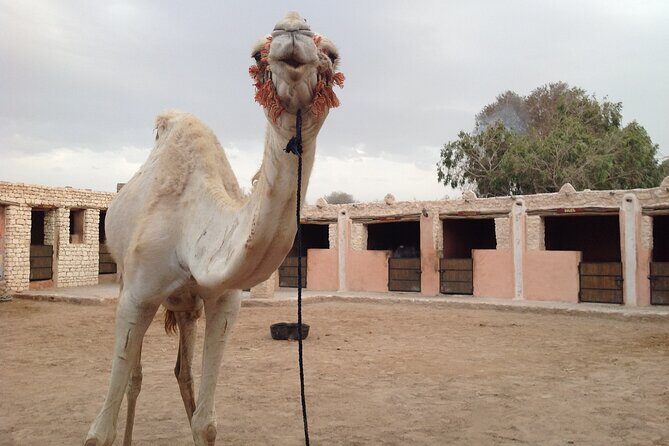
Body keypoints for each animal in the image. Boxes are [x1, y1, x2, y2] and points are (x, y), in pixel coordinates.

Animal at [84, 12, 343, 446]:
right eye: (256, 54)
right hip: (123, 278)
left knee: (181, 372)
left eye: (333, 54)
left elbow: (205, 422)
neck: (189, 232)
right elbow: (99, 431)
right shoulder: (137, 297)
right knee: (136, 379)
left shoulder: (223, 301)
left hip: (186, 306)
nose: (293, 28)